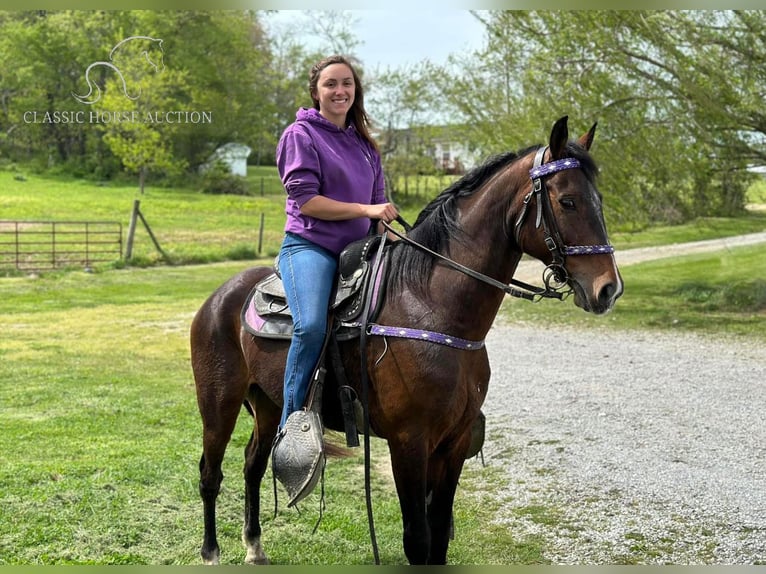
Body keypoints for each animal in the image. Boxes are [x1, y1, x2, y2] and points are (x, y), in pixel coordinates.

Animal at [190, 117, 624, 568]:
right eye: (568, 201)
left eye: (598, 199)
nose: (608, 288)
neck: (431, 307)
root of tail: (221, 296)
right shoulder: (409, 443)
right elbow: (418, 538)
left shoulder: (452, 444)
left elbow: (439, 535)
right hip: (218, 403)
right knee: (210, 473)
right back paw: (211, 552)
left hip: (268, 403)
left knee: (252, 464)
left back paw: (255, 546)